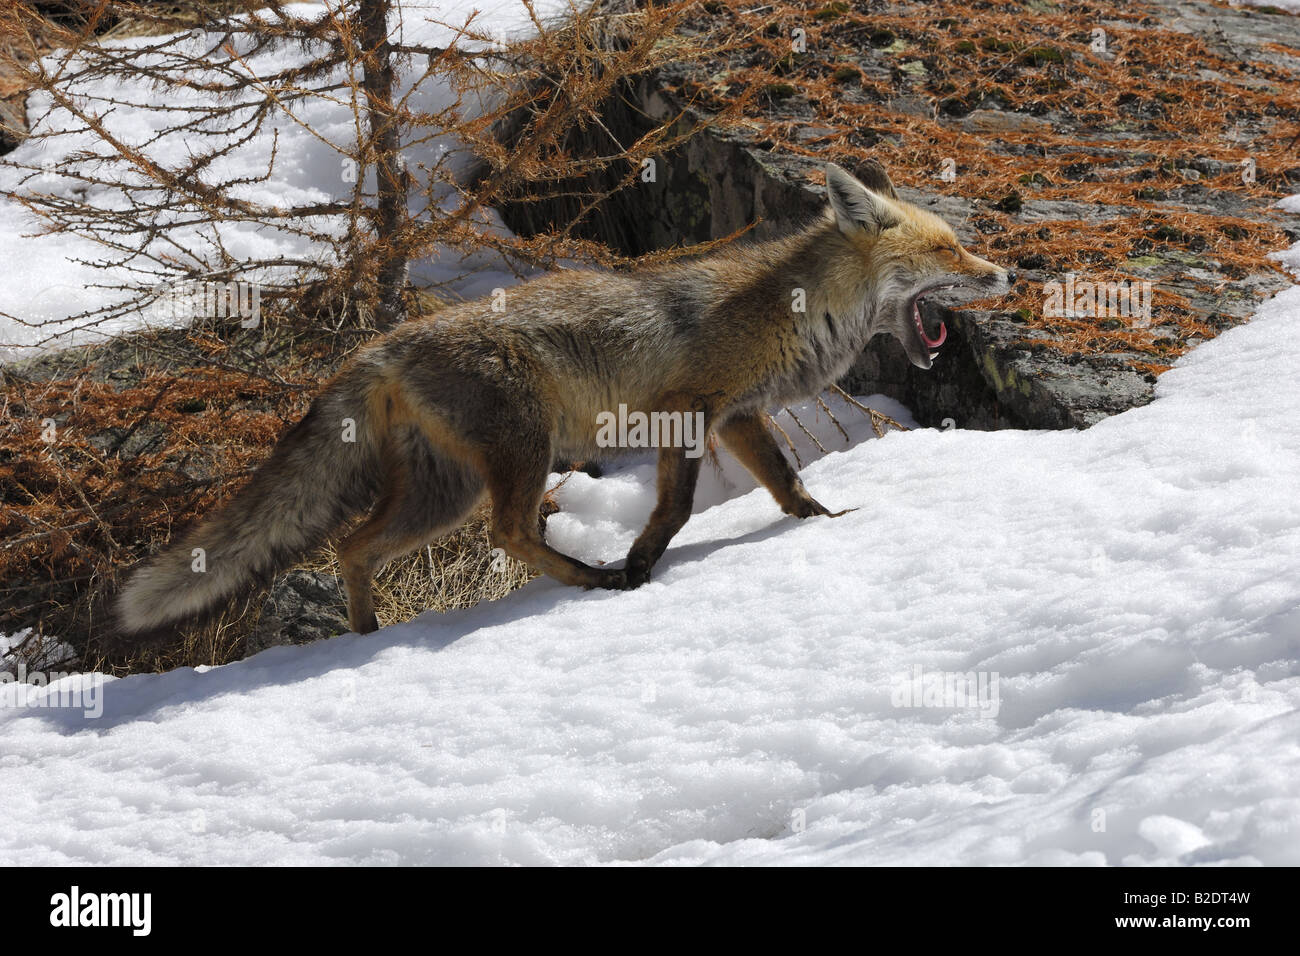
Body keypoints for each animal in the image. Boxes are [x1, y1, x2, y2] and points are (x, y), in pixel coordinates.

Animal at [114, 160, 1013, 639]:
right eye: (948, 250)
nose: (1004, 273)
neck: (790, 308)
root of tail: (380, 344)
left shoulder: (739, 416)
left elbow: (789, 483)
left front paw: (825, 525)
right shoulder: (687, 412)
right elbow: (674, 509)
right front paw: (643, 563)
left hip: (442, 491)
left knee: (353, 548)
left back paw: (362, 639)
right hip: (520, 451)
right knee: (507, 532)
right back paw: (590, 578)